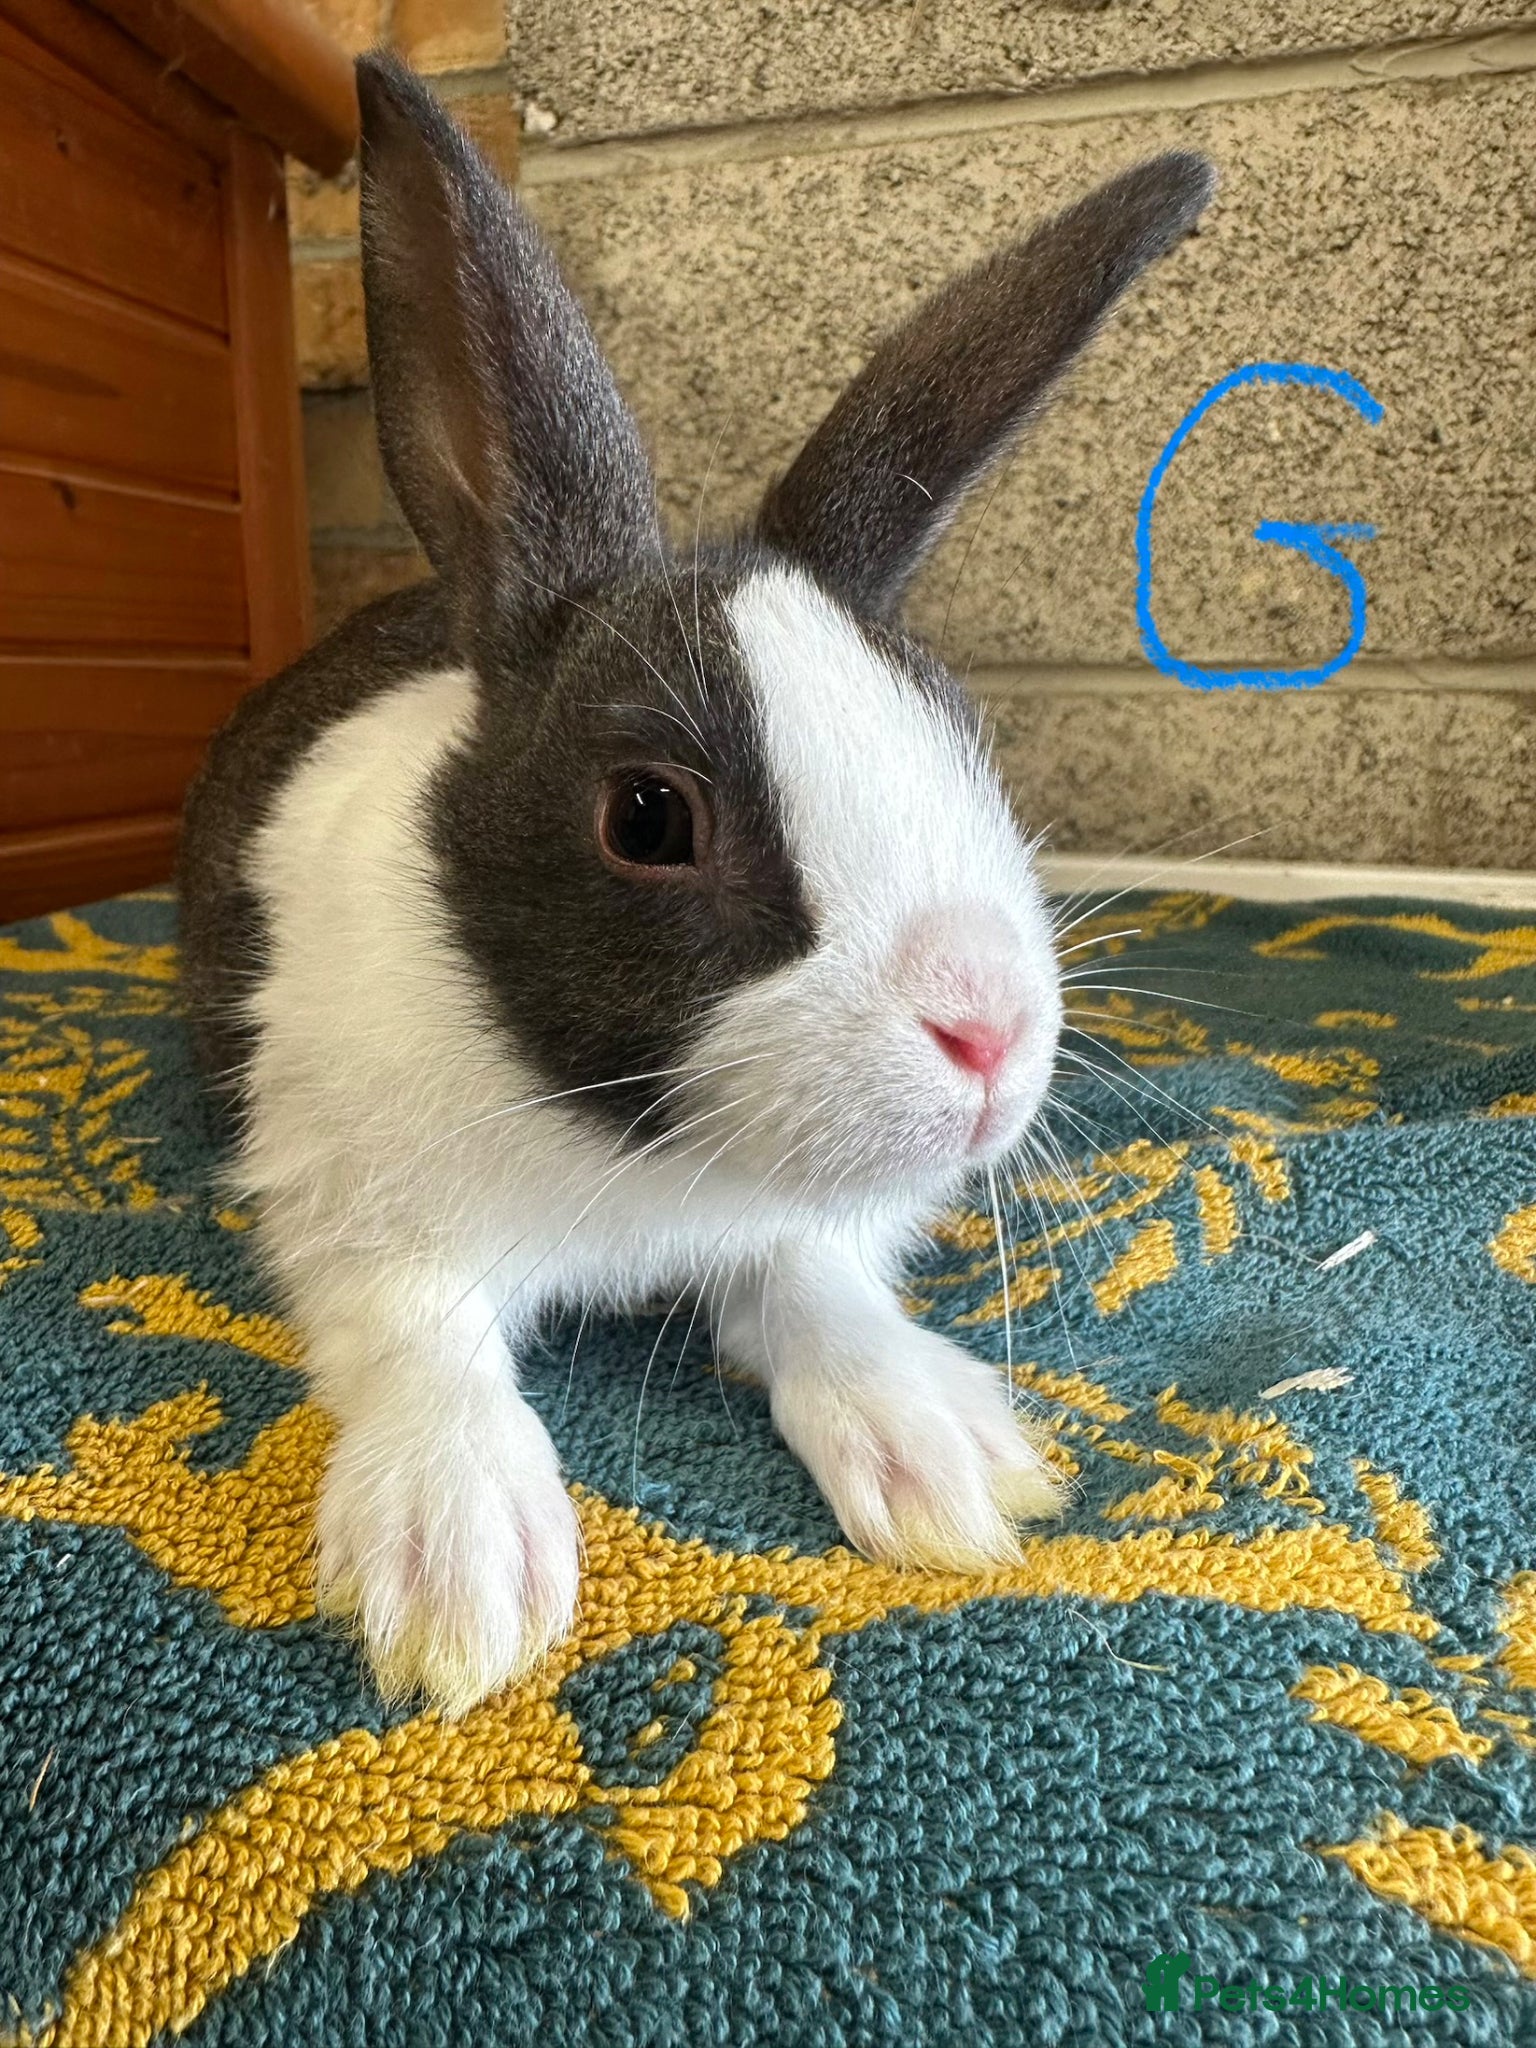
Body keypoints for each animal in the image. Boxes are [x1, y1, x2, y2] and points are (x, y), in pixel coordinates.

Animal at [178, 49, 1214, 1715]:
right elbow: (425, 1349)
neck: (642, 1155)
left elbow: (818, 1292)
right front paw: (459, 1576)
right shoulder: (352, 1218)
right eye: (651, 817)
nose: (992, 1036)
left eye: (961, 731)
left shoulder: (807, 1233)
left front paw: (949, 1462)